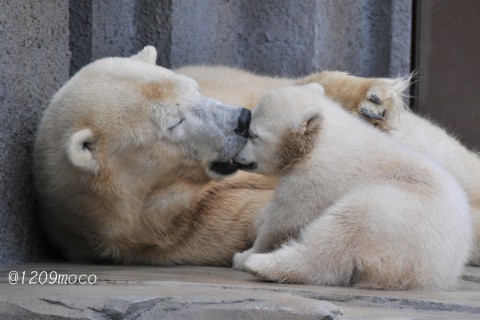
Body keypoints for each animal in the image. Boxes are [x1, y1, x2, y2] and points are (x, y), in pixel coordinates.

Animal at [35, 45, 478, 264]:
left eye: (194, 89)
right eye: (174, 123)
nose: (240, 121)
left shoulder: (238, 87)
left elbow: (297, 93)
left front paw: (371, 100)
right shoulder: (173, 232)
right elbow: (263, 218)